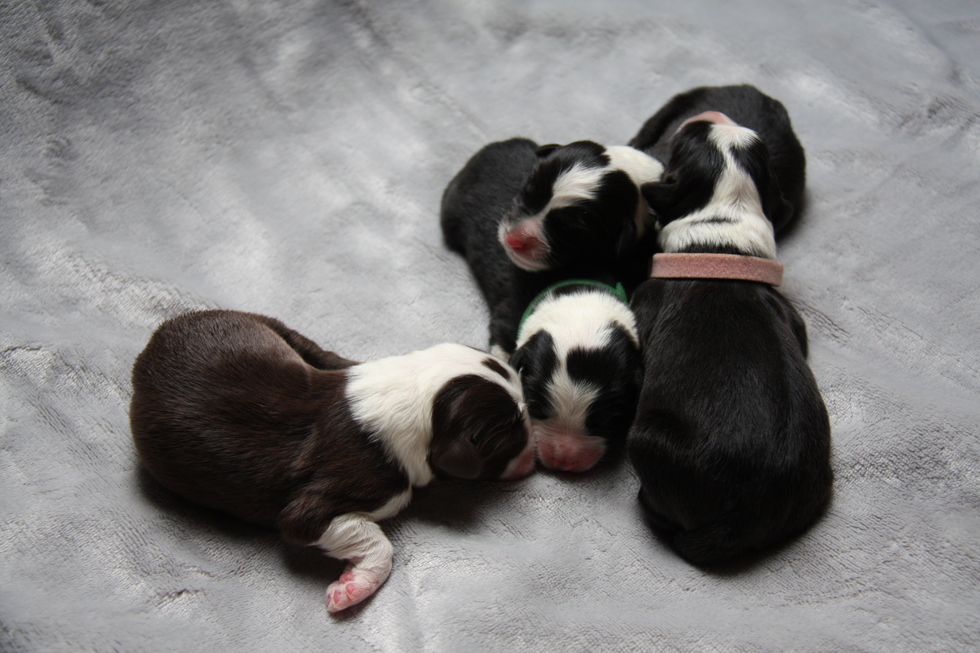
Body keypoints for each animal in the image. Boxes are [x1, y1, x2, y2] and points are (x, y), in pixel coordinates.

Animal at [130, 310, 534, 612]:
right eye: (510, 434)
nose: (535, 451)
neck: (415, 400)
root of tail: (147, 351)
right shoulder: (315, 511)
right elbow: (377, 544)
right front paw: (352, 588)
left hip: (271, 328)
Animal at [441, 138, 642, 472]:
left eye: (606, 419)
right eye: (536, 405)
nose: (562, 463)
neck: (575, 292)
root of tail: (496, 144)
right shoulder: (507, 321)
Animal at [626, 112, 832, 565]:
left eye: (685, 141)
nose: (711, 115)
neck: (720, 230)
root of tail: (743, 522)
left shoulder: (645, 301)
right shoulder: (790, 314)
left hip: (647, 439)